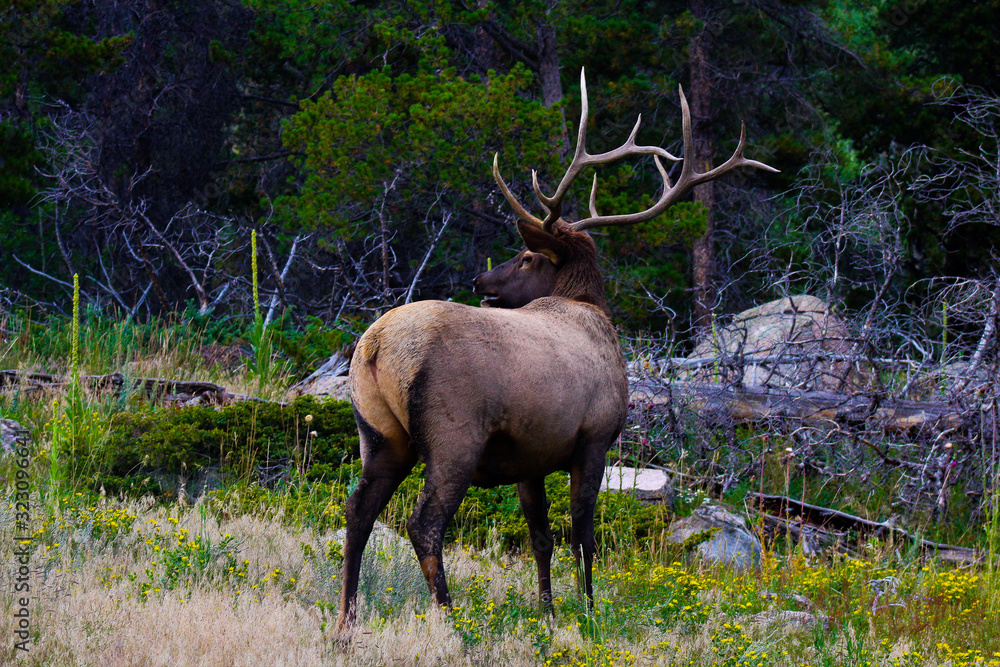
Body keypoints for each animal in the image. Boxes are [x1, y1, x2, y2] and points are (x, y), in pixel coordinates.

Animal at [337, 69, 777, 629]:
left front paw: (546, 612)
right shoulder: (594, 439)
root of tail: (376, 347)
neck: (592, 311)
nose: (480, 279)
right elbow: (583, 536)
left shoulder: (530, 456)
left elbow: (541, 538)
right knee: (424, 524)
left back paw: (347, 621)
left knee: (358, 510)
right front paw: (588, 612)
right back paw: (451, 622)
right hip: (453, 436)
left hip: (379, 434)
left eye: (525, 257)